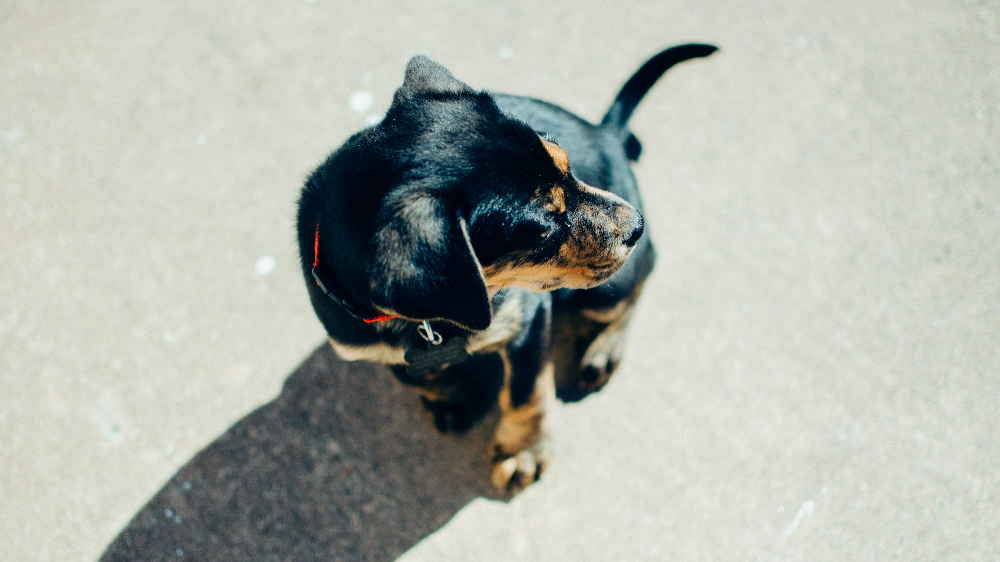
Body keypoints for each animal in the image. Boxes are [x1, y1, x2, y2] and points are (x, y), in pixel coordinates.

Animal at [296, 44, 720, 490]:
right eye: (543, 231)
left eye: (568, 164)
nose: (637, 224)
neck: (432, 323)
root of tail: (608, 134)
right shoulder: (375, 346)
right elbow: (420, 375)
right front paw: (451, 401)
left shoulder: (529, 321)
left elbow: (525, 393)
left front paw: (522, 452)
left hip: (605, 292)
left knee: (634, 291)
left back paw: (605, 348)